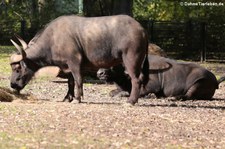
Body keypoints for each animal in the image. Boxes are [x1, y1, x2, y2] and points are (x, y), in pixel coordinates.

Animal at [10, 14, 149, 105]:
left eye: (17, 69)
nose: (12, 85)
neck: (53, 39)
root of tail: (141, 29)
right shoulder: (67, 66)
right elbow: (70, 82)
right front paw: (68, 97)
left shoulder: (74, 62)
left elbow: (78, 80)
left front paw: (77, 98)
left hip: (131, 59)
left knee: (136, 79)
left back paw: (131, 101)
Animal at [97, 55, 225, 100]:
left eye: (114, 63)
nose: (100, 73)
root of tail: (215, 80)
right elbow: (112, 92)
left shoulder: (151, 86)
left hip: (198, 83)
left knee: (188, 95)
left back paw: (173, 98)